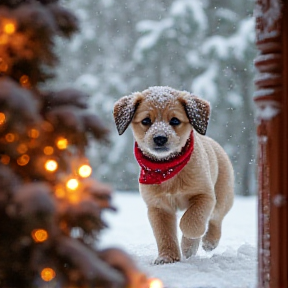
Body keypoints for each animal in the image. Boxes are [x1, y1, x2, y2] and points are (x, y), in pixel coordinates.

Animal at [112, 86, 234, 264]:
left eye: (175, 121)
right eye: (146, 121)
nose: (160, 138)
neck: (167, 170)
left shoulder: (204, 195)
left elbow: (191, 222)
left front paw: (188, 243)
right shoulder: (158, 207)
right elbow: (164, 235)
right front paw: (167, 258)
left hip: (222, 196)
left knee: (216, 219)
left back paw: (209, 241)